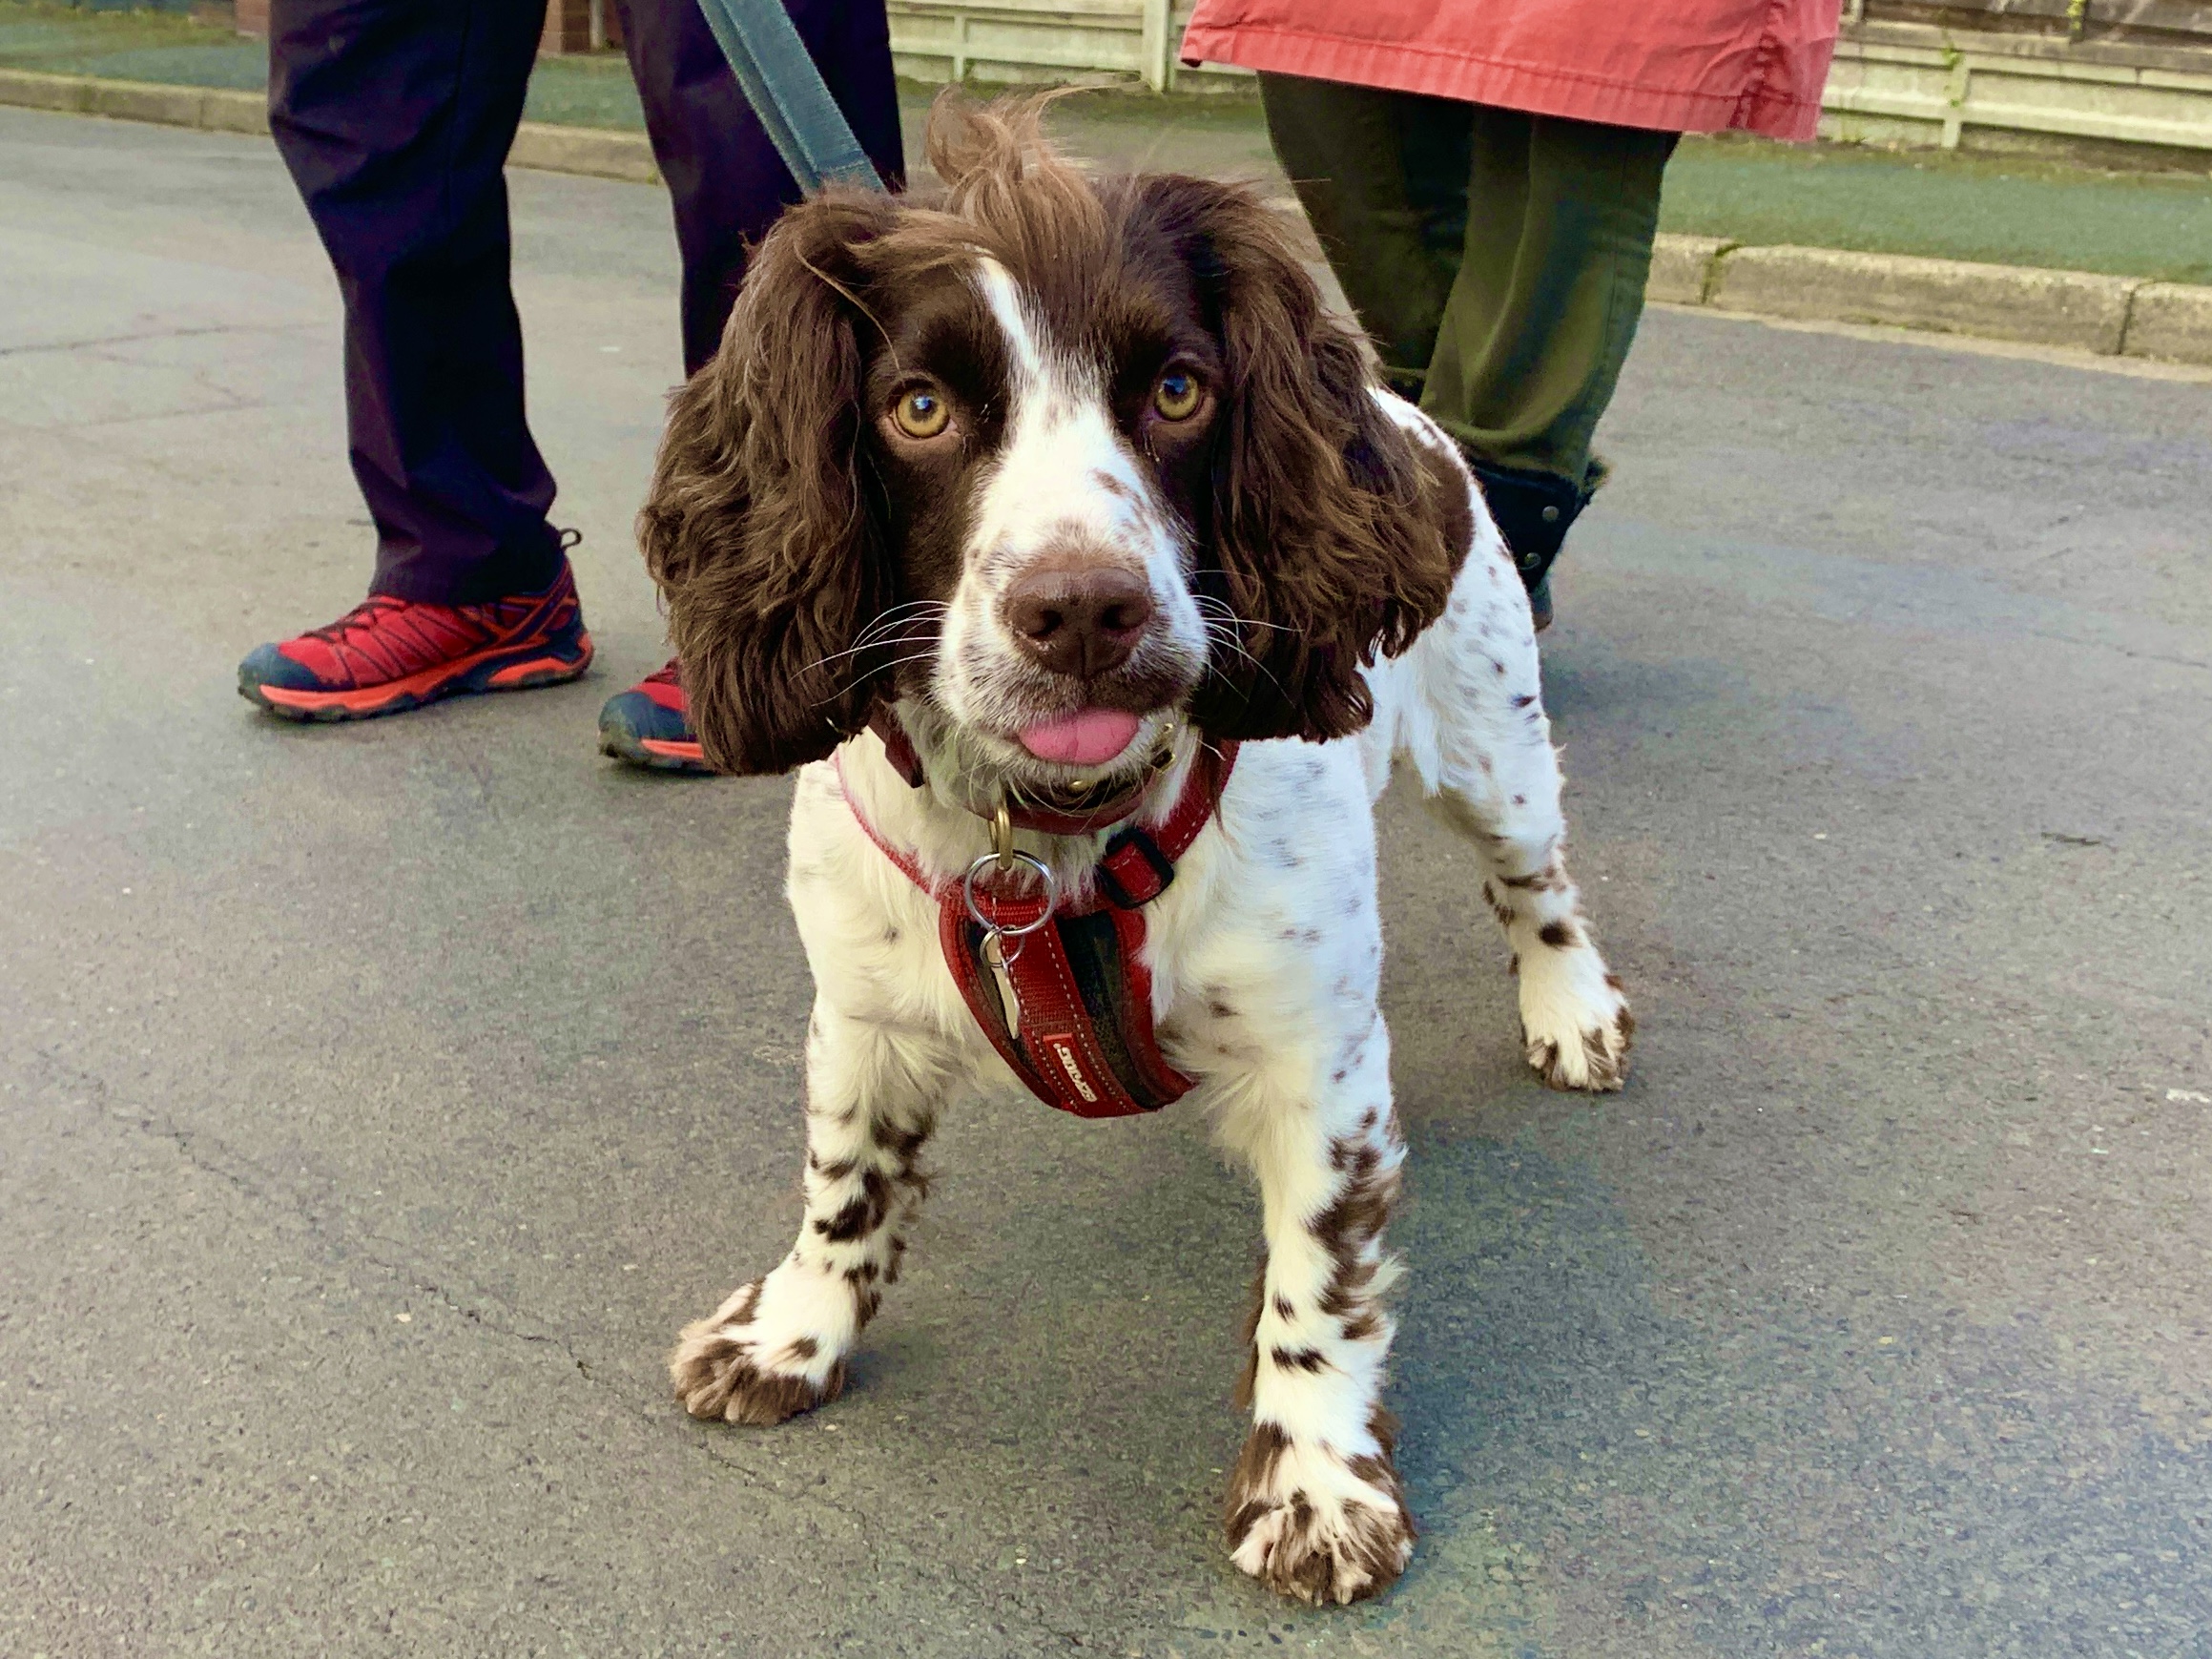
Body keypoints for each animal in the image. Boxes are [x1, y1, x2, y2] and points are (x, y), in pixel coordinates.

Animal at [632, 97, 1637, 1601]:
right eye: (918, 408)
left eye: (1175, 390)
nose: (1083, 611)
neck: (1050, 829)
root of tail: (1404, 411)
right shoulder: (860, 1007)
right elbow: (843, 1182)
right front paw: (794, 1334)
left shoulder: (1323, 1058)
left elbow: (1318, 1285)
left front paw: (1316, 1481)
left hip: (1491, 749)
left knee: (1537, 884)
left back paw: (1572, 1008)